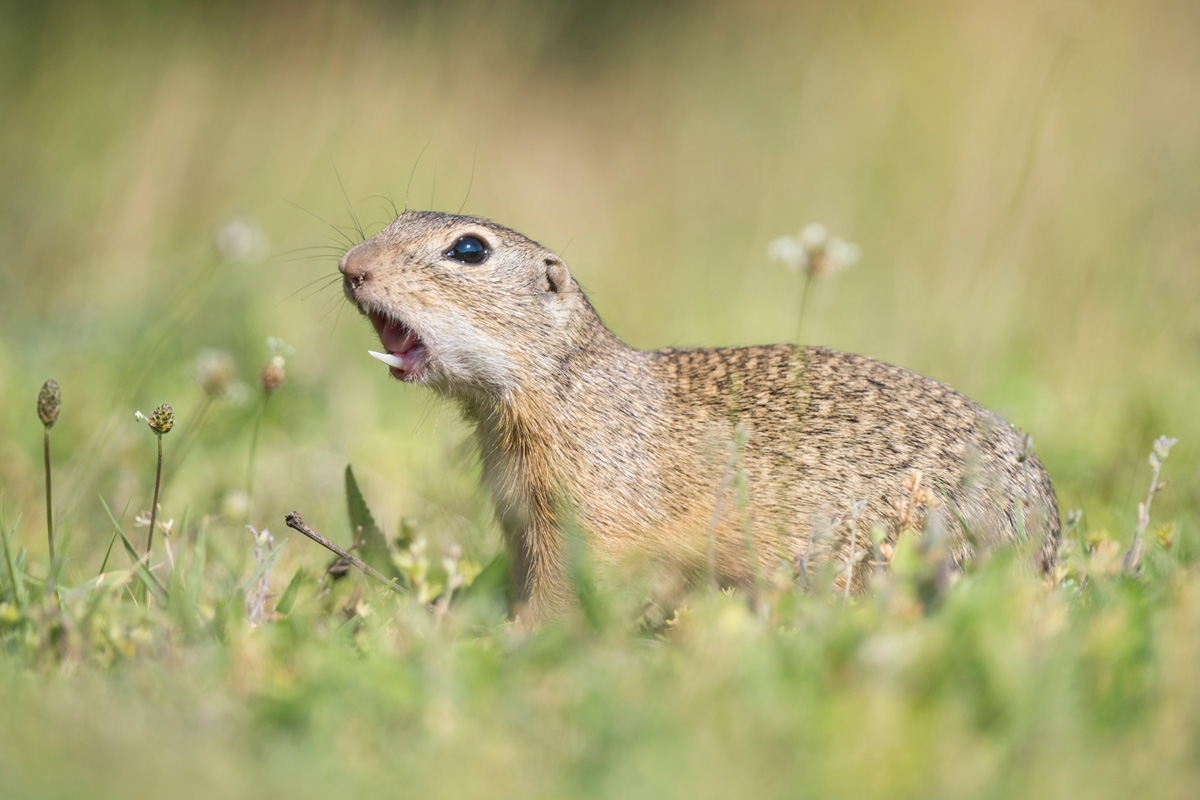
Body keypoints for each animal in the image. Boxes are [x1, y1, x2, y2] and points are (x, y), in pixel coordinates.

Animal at [338, 209, 1060, 618]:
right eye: (399, 215)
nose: (350, 266)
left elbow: (565, 593)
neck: (566, 389)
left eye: (468, 250)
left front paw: (517, 639)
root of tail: (1050, 552)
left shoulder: (592, 522)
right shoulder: (522, 524)